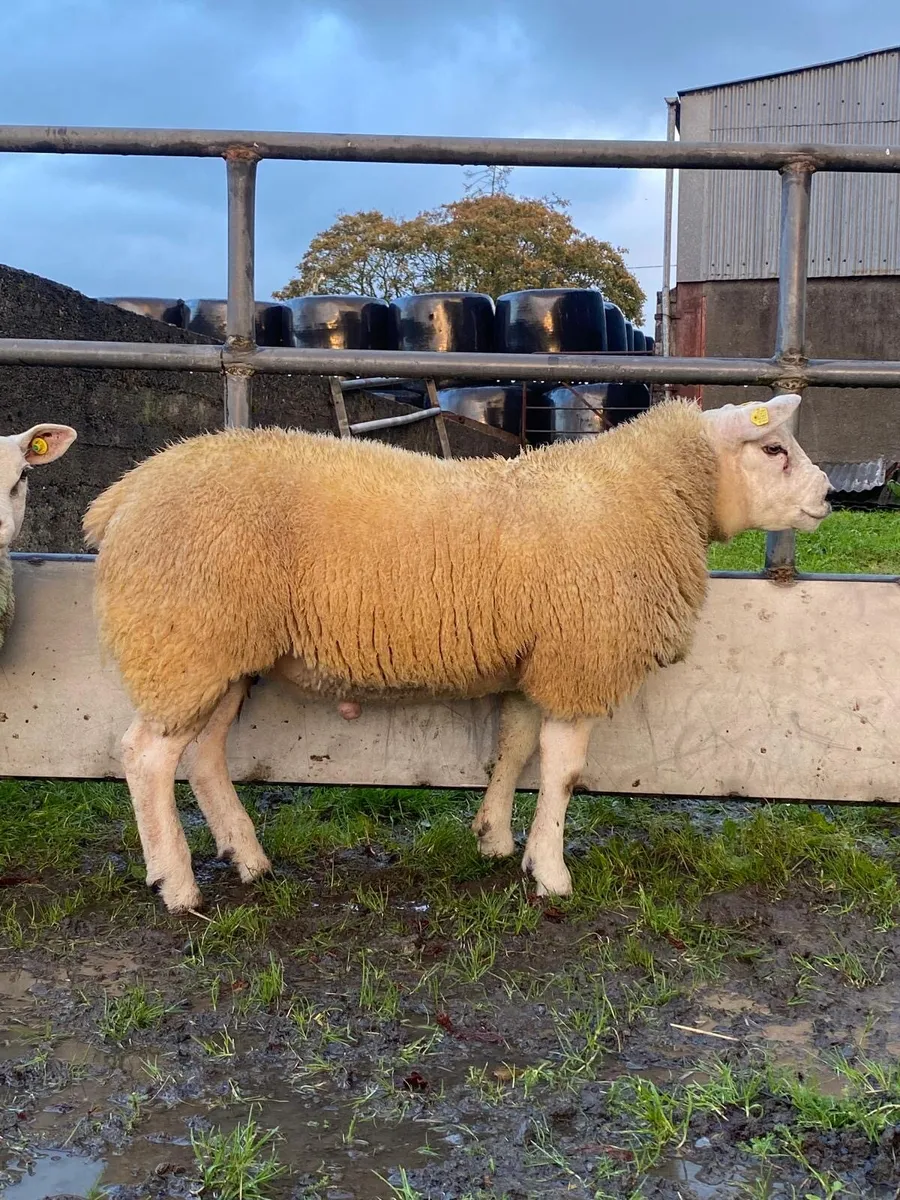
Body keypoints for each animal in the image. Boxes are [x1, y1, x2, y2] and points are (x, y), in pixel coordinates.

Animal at [83, 394, 831, 913]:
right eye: (773, 449)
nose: (829, 496)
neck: (651, 494)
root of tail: (124, 493)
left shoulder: (531, 663)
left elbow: (513, 749)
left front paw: (495, 840)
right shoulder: (576, 659)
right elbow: (563, 772)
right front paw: (551, 872)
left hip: (221, 653)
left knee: (204, 756)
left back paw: (248, 858)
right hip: (181, 639)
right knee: (146, 758)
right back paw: (177, 884)